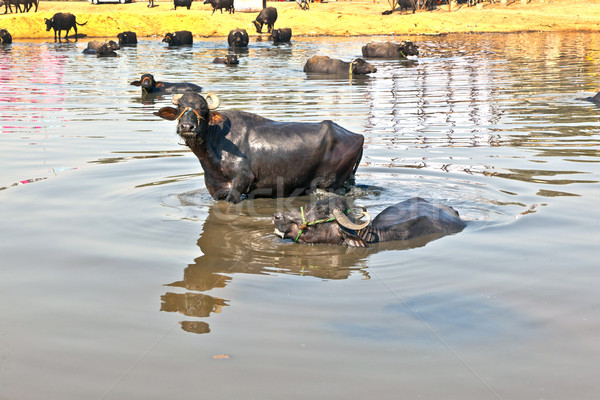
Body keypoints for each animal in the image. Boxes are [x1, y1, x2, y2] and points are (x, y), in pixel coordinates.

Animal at [152, 91, 364, 203]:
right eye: (180, 107)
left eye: (202, 108)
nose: (187, 127)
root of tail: (357, 136)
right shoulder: (214, 188)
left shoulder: (240, 183)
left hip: (331, 184)